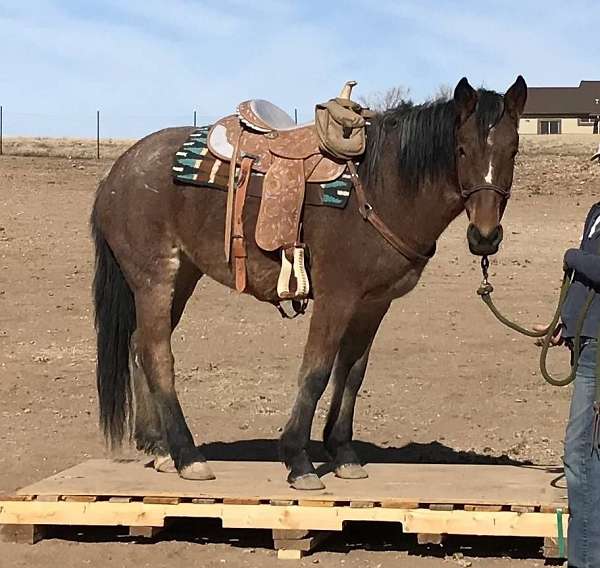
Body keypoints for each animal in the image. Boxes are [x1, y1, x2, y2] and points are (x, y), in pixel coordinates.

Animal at [91, 77, 528, 490]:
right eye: (462, 150)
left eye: (513, 150)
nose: (485, 237)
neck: (383, 187)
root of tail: (117, 173)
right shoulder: (337, 296)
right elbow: (316, 371)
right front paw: (298, 459)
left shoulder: (373, 303)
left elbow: (352, 373)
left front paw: (344, 453)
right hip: (154, 276)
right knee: (156, 354)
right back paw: (187, 455)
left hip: (182, 275)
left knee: (139, 345)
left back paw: (159, 447)